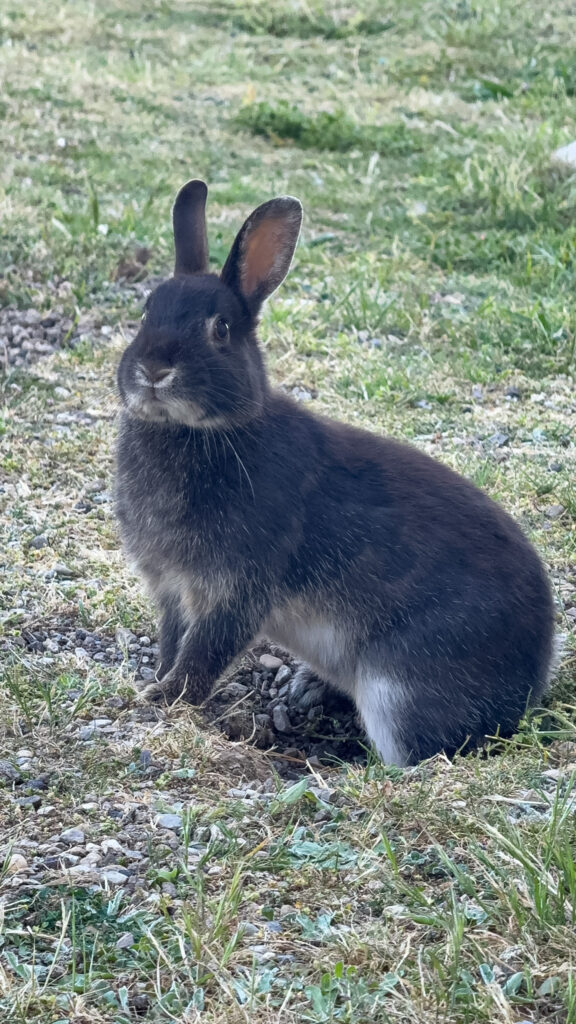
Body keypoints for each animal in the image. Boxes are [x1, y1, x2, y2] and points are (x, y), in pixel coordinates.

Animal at [115, 178, 557, 766]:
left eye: (221, 329)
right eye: (146, 313)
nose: (154, 369)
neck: (200, 431)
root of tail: (534, 678)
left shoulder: (234, 587)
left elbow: (205, 652)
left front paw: (165, 696)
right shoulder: (171, 589)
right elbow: (173, 640)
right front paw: (155, 682)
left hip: (398, 694)